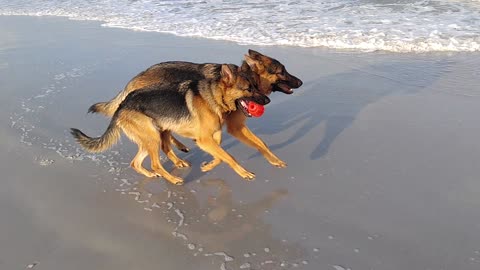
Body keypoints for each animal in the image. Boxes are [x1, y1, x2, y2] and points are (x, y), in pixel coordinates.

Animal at [71, 64, 268, 185]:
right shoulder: (204, 140)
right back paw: (173, 179)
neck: (214, 96)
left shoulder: (212, 139)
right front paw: (244, 173)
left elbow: (221, 157)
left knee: (136, 162)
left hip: (152, 138)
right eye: (248, 89)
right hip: (153, 137)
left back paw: (153, 174)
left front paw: (207, 166)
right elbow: (229, 157)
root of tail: (122, 105)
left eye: (255, 86)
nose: (268, 100)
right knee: (155, 163)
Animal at [88, 49, 302, 170]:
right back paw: (179, 150)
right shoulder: (235, 127)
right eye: (282, 71)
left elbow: (261, 143)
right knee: (163, 141)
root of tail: (134, 80)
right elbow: (255, 144)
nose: (300, 82)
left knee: (164, 140)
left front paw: (274, 160)